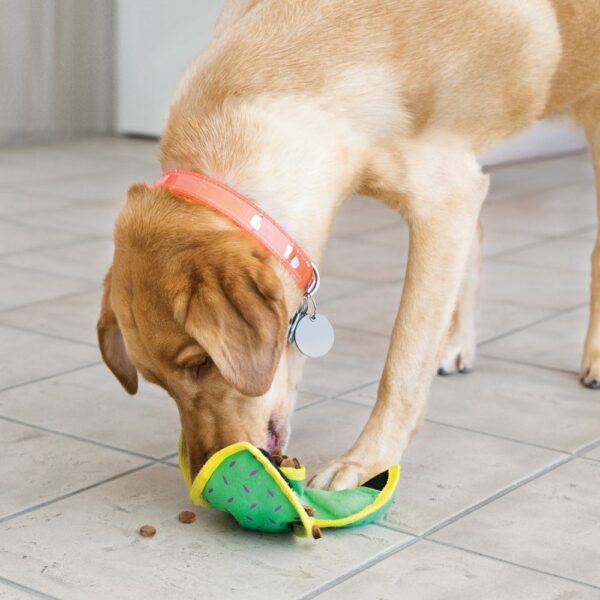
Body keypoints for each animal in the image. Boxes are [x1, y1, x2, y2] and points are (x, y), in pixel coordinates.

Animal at [97, 0, 600, 488]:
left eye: (202, 362)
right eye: (161, 382)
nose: (206, 472)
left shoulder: (443, 203)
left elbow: (402, 364)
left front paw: (366, 461)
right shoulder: (455, 195)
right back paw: (459, 343)